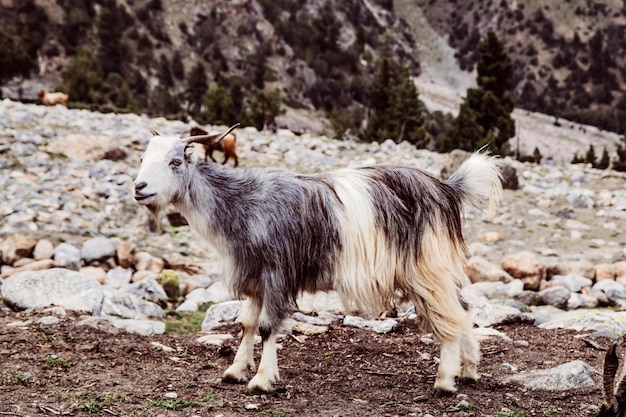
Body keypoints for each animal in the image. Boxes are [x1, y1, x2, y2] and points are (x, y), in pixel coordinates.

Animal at [133, 123, 502, 394]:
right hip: (436, 271)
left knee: (449, 317)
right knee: (463, 311)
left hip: (427, 270)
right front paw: (235, 371)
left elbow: (267, 326)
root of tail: (447, 188)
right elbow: (247, 323)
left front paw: (262, 380)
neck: (244, 202)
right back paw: (469, 371)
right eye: (142, 159)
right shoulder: (254, 276)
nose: (140, 188)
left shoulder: (277, 271)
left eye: (175, 162)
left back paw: (444, 382)